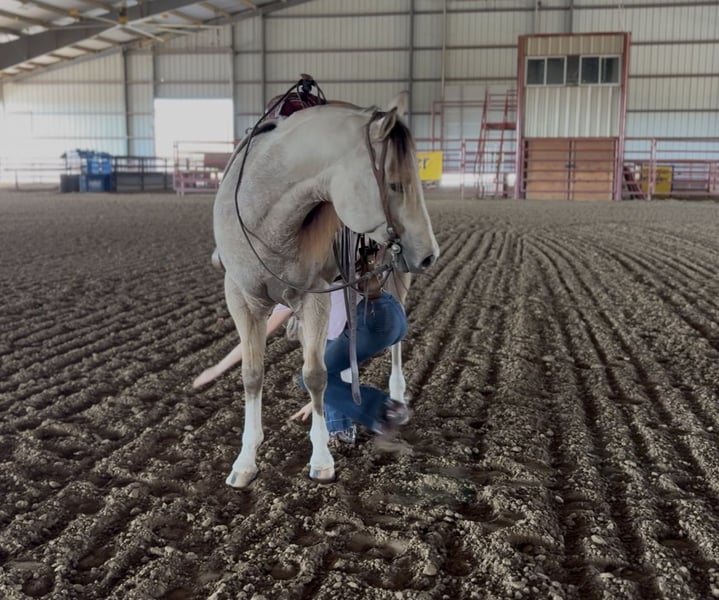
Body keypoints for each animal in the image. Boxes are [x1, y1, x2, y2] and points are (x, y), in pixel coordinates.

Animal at [213, 93, 439, 487]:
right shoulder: (241, 298)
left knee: (394, 341)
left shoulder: (314, 298)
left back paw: (395, 396)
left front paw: (320, 459)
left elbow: (315, 375)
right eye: (395, 184)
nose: (430, 254)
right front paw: (244, 462)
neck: (264, 218)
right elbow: (252, 375)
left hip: (394, 277)